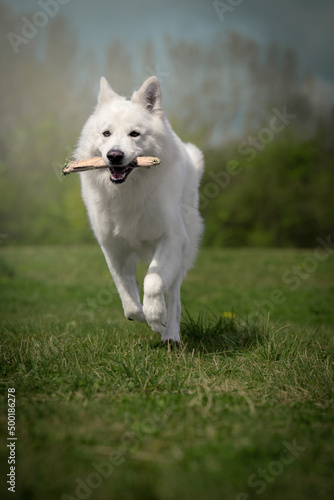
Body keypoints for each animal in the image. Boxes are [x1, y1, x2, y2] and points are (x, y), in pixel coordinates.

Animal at [74, 76, 205, 344]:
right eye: (106, 133)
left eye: (134, 134)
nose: (114, 155)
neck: (127, 192)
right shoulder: (113, 249)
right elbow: (128, 298)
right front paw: (144, 316)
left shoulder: (171, 239)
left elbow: (153, 283)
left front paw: (156, 317)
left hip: (183, 249)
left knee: (174, 296)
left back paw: (170, 334)